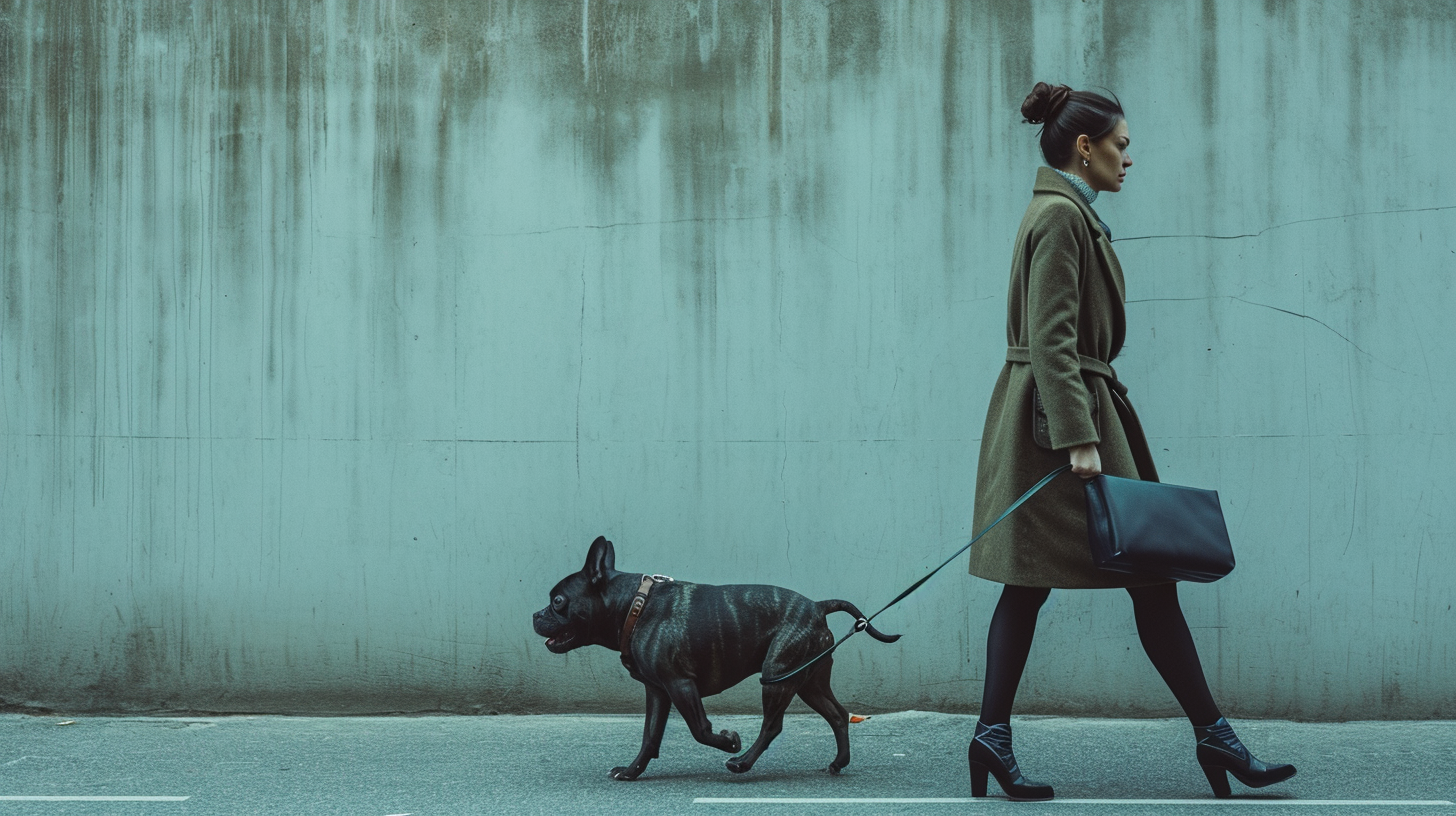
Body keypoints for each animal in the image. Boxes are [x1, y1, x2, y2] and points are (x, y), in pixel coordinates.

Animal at [535, 536, 896, 775]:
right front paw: (632, 771)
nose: (536, 615)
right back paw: (838, 762)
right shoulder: (658, 691)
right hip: (808, 680)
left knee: (772, 725)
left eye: (557, 601)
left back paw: (741, 761)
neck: (633, 607)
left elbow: (699, 729)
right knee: (837, 714)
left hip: (777, 676)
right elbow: (649, 736)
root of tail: (817, 607)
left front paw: (729, 741)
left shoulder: (680, 685)